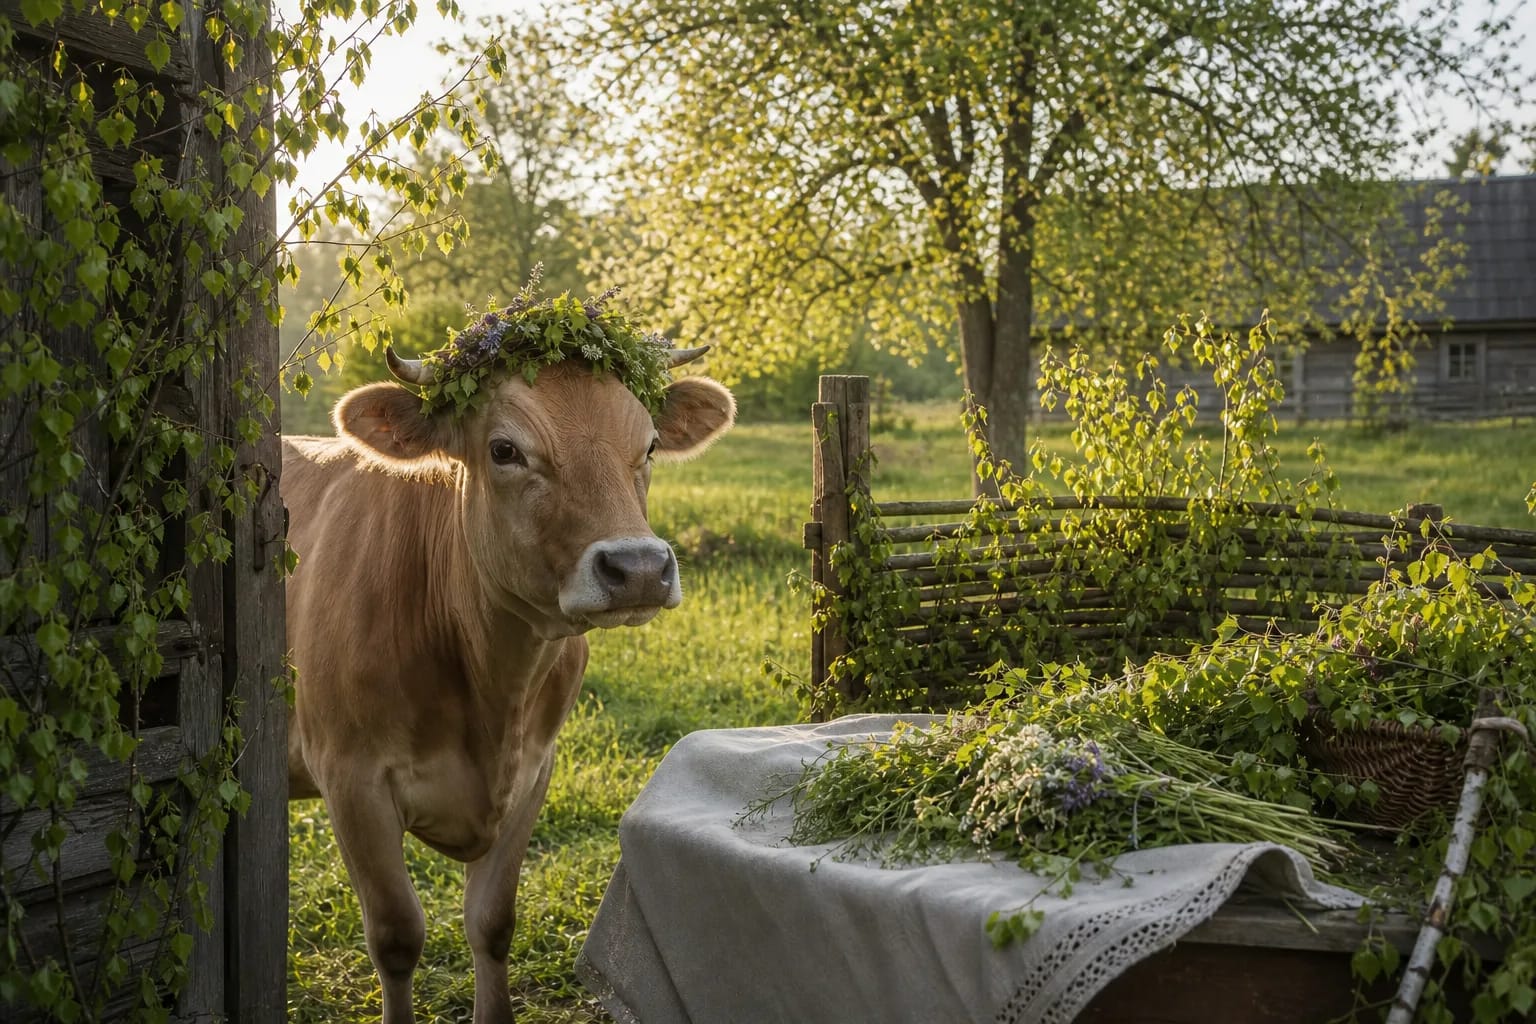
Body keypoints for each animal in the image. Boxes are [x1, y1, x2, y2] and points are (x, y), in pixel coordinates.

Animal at [280, 345, 735, 1024]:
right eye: (504, 450)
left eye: (650, 444)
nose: (639, 569)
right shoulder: (350, 778)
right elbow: (396, 935)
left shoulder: (533, 769)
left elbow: (493, 923)